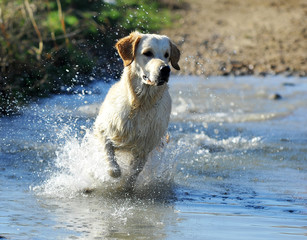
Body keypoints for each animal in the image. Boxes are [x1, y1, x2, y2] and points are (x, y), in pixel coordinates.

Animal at [93, 31, 180, 190]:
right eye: (147, 53)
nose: (165, 69)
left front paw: (126, 186)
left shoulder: (145, 147)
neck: (140, 104)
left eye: (167, 55)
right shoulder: (103, 128)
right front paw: (114, 171)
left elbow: (134, 172)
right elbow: (109, 153)